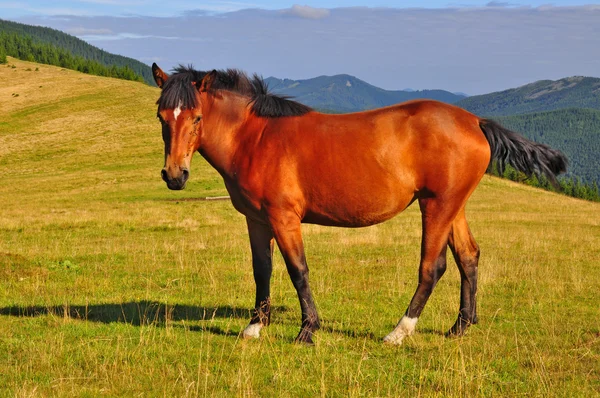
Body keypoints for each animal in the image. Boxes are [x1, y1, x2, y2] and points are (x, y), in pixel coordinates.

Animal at [150, 63, 568, 344]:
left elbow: (298, 270)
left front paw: (307, 330)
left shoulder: (284, 218)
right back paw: (460, 327)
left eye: (197, 117)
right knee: (469, 257)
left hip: (436, 206)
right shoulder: (257, 220)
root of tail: (475, 121)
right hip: (453, 206)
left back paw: (399, 332)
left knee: (432, 268)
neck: (256, 137)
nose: (174, 175)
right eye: (161, 117)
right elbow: (262, 270)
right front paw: (255, 325)